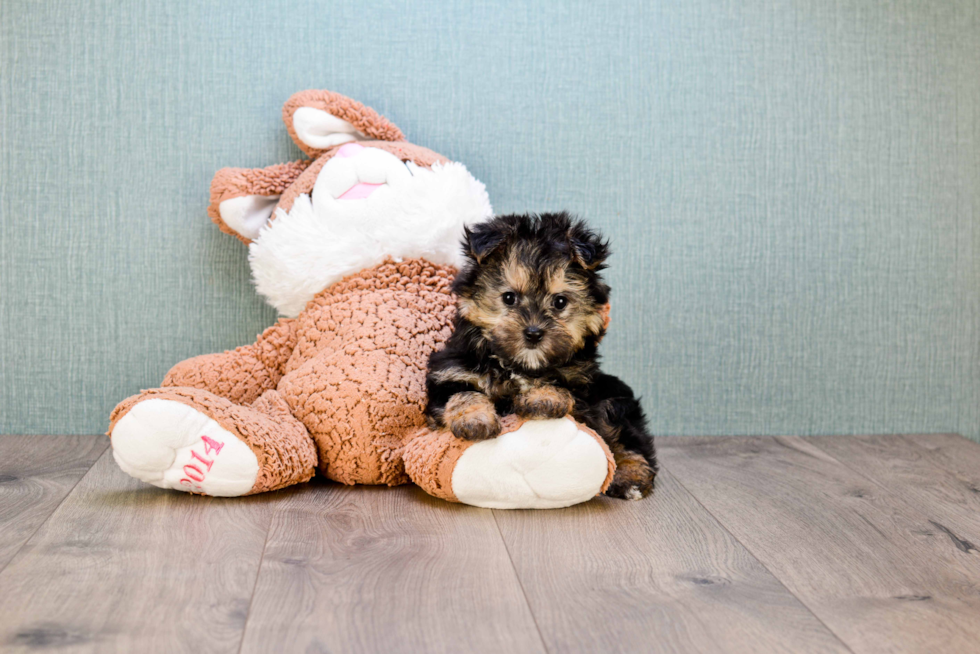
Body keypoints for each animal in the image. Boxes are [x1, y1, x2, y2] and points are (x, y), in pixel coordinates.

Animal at [424, 213, 660, 500]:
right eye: (509, 298)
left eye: (560, 302)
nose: (534, 333)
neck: (518, 365)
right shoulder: (450, 371)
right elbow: (463, 394)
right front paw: (474, 420)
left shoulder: (582, 386)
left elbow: (558, 384)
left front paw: (543, 398)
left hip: (614, 401)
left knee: (628, 440)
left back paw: (631, 478)